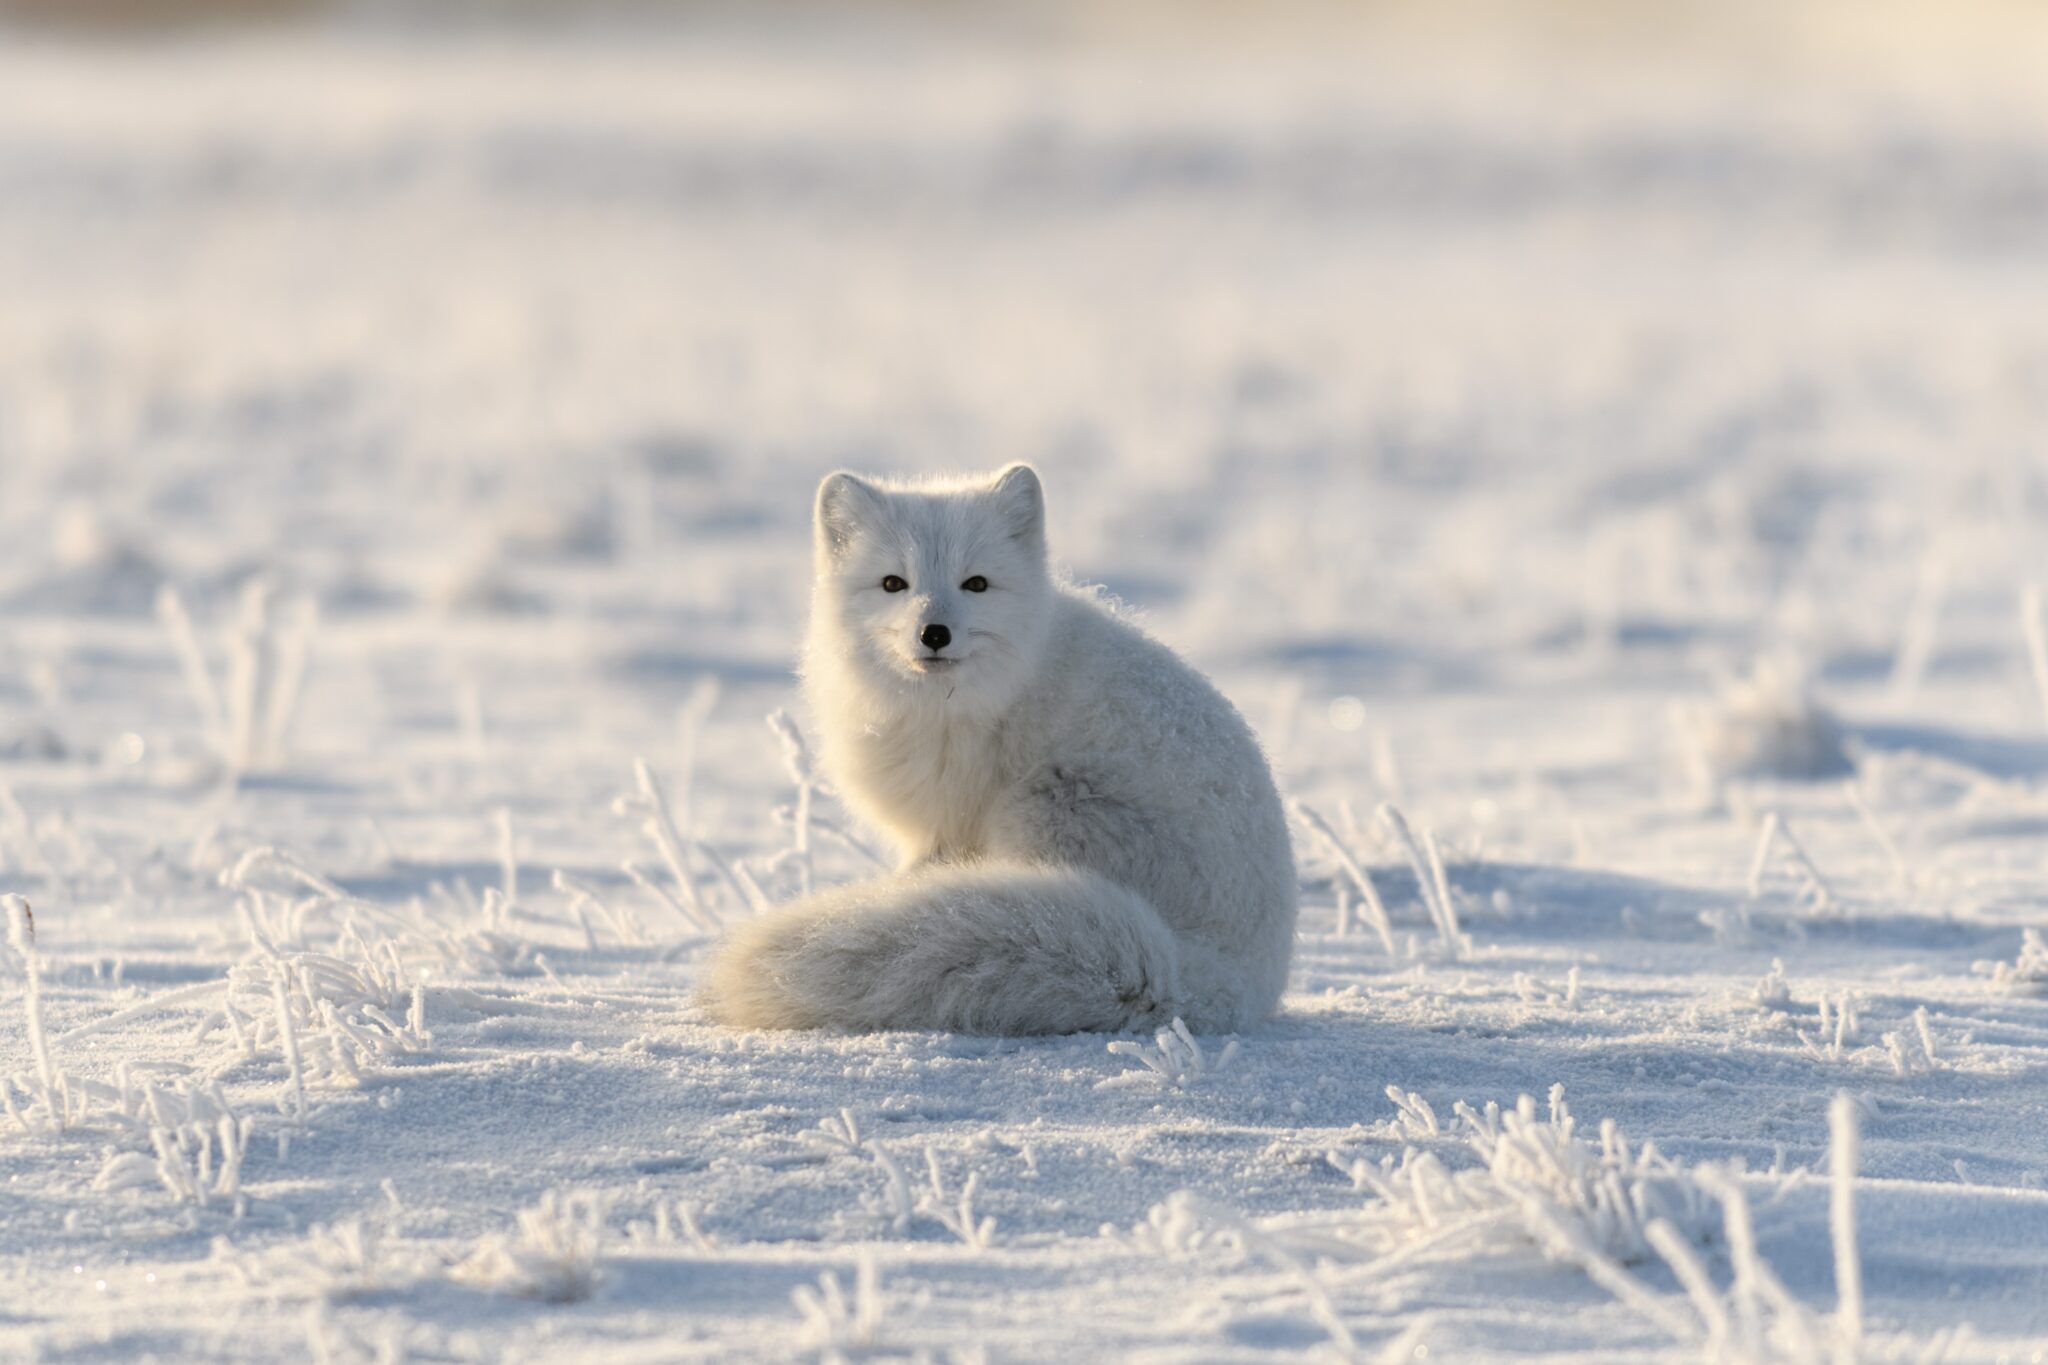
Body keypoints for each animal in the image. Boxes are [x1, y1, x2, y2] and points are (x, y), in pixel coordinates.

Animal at [700, 463, 1297, 1035]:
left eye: (976, 584)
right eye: (893, 583)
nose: (934, 633)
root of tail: (1223, 979)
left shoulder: (949, 822)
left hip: (1043, 802)